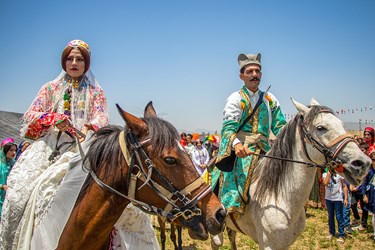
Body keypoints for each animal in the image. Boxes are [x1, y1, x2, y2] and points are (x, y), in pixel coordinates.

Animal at [213, 98, 372, 250]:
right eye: (320, 127)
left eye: (341, 124)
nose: (362, 163)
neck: (281, 198)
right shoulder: (268, 244)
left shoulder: (285, 244)